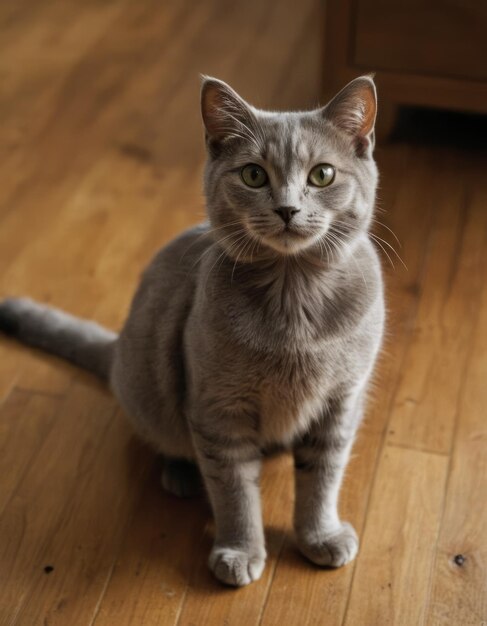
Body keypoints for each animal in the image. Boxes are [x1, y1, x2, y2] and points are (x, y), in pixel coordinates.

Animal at [0, 74, 386, 584]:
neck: (294, 297)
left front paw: (320, 537)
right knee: (169, 437)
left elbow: (323, 476)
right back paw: (181, 475)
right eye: (253, 175)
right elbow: (234, 490)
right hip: (152, 388)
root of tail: (117, 348)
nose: (287, 209)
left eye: (322, 175)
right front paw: (240, 552)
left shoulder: (341, 401)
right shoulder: (217, 408)